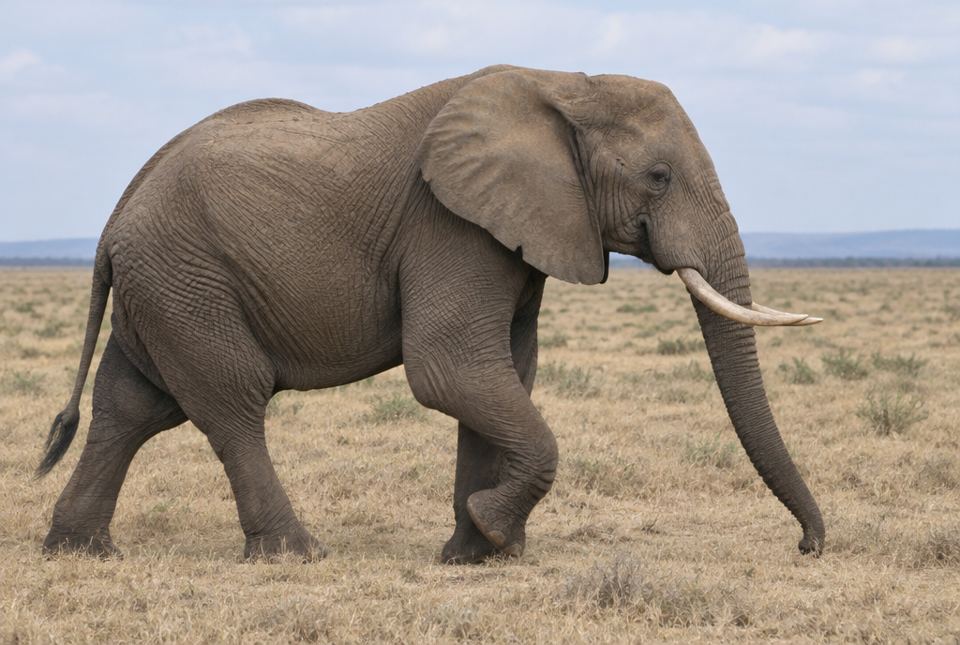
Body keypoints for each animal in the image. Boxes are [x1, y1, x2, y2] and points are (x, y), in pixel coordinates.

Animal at [37, 64, 825, 563]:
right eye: (658, 178)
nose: (808, 545)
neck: (562, 86)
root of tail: (114, 218)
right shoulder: (449, 224)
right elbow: (452, 370)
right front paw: (492, 533)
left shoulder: (512, 229)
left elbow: (505, 372)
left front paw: (476, 554)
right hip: (186, 277)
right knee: (231, 399)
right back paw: (297, 554)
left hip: (165, 284)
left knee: (132, 405)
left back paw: (81, 550)